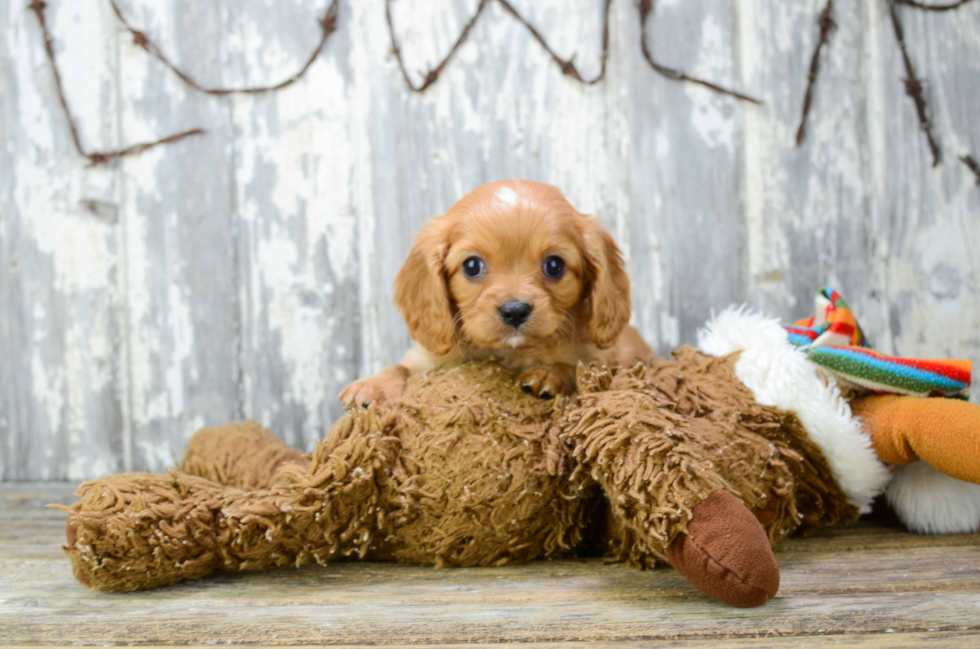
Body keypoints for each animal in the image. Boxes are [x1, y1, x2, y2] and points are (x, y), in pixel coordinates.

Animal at [340, 180, 656, 408]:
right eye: (472, 266)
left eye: (554, 265)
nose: (514, 311)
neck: (508, 352)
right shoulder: (429, 361)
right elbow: (403, 367)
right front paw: (374, 384)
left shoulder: (602, 360)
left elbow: (574, 366)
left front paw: (548, 373)